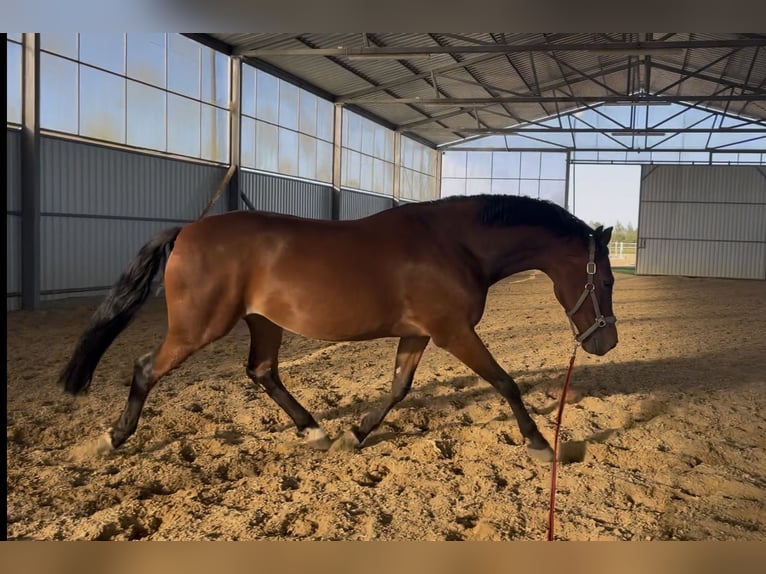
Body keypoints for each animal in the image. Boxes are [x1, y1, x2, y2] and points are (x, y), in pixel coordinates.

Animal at [59, 194, 617, 462]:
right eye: (608, 279)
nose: (606, 342)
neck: (455, 244)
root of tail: (188, 230)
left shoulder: (419, 333)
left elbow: (398, 388)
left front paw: (356, 434)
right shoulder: (453, 331)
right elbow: (505, 382)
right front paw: (540, 442)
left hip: (264, 322)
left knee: (262, 371)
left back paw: (316, 432)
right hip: (199, 328)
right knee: (145, 368)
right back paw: (113, 439)